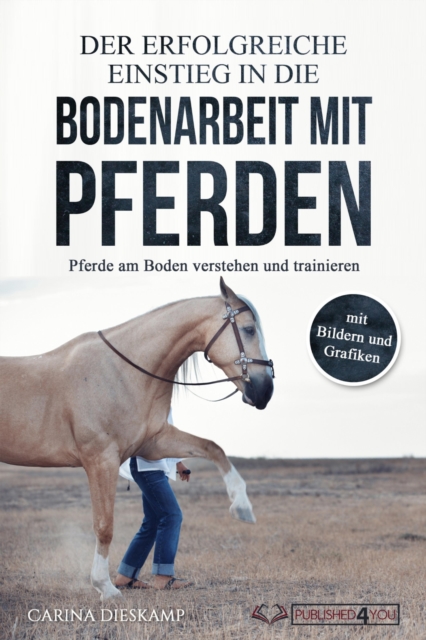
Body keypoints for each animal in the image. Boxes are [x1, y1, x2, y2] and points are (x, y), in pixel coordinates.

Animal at [0, 278, 274, 599]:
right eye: (249, 329)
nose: (265, 390)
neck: (122, 372)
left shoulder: (152, 444)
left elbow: (213, 447)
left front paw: (242, 505)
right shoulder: (101, 460)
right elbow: (104, 525)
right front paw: (105, 587)